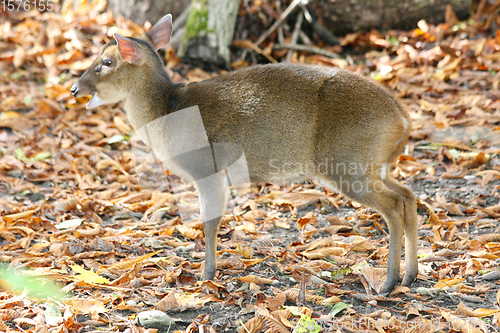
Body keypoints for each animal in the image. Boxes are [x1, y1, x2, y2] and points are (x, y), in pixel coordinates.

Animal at [71, 13, 418, 294]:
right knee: (408, 195)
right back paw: (410, 276)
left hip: (347, 162)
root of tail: (403, 119)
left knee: (393, 205)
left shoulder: (207, 167)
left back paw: (388, 282)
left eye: (106, 62)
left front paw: (206, 275)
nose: (75, 89)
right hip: (372, 164)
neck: (167, 113)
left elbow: (209, 220)